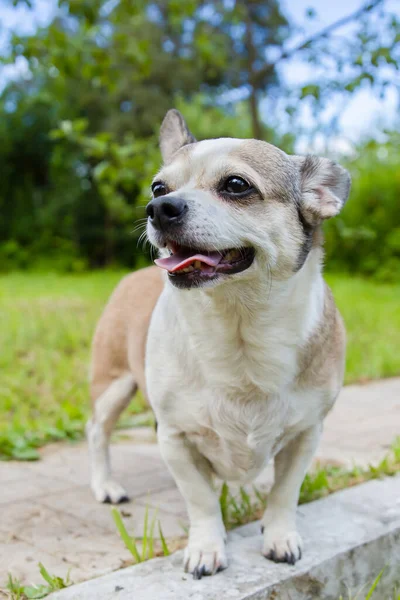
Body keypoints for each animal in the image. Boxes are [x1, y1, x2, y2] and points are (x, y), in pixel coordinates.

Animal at [86, 110, 350, 580]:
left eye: (236, 185)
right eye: (158, 187)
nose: (159, 207)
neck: (239, 328)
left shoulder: (306, 435)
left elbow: (285, 492)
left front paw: (280, 536)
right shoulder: (175, 437)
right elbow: (202, 500)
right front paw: (207, 548)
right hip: (113, 385)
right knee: (97, 431)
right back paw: (106, 485)